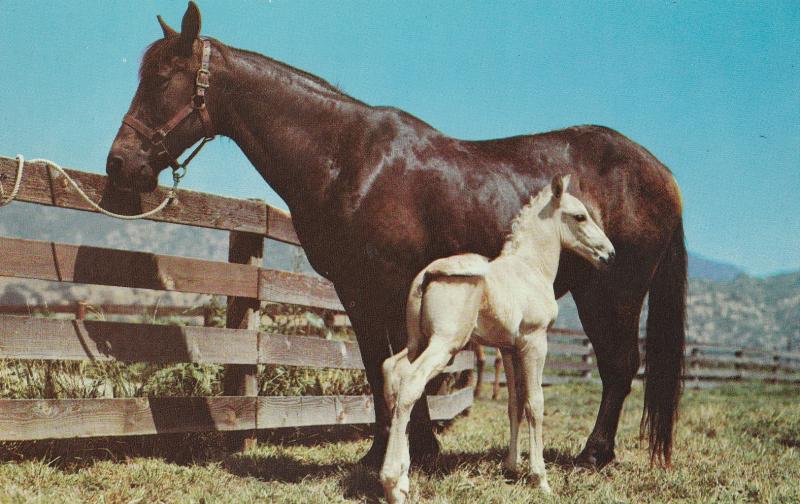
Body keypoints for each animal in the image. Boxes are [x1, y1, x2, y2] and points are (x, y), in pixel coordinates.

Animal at [378, 175, 616, 502]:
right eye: (580, 216)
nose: (609, 254)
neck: (531, 268)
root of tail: (428, 273)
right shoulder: (535, 342)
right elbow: (535, 403)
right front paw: (540, 479)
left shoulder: (509, 349)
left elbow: (514, 403)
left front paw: (511, 467)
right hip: (444, 344)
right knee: (411, 382)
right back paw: (392, 483)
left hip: (417, 341)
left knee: (392, 370)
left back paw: (402, 478)